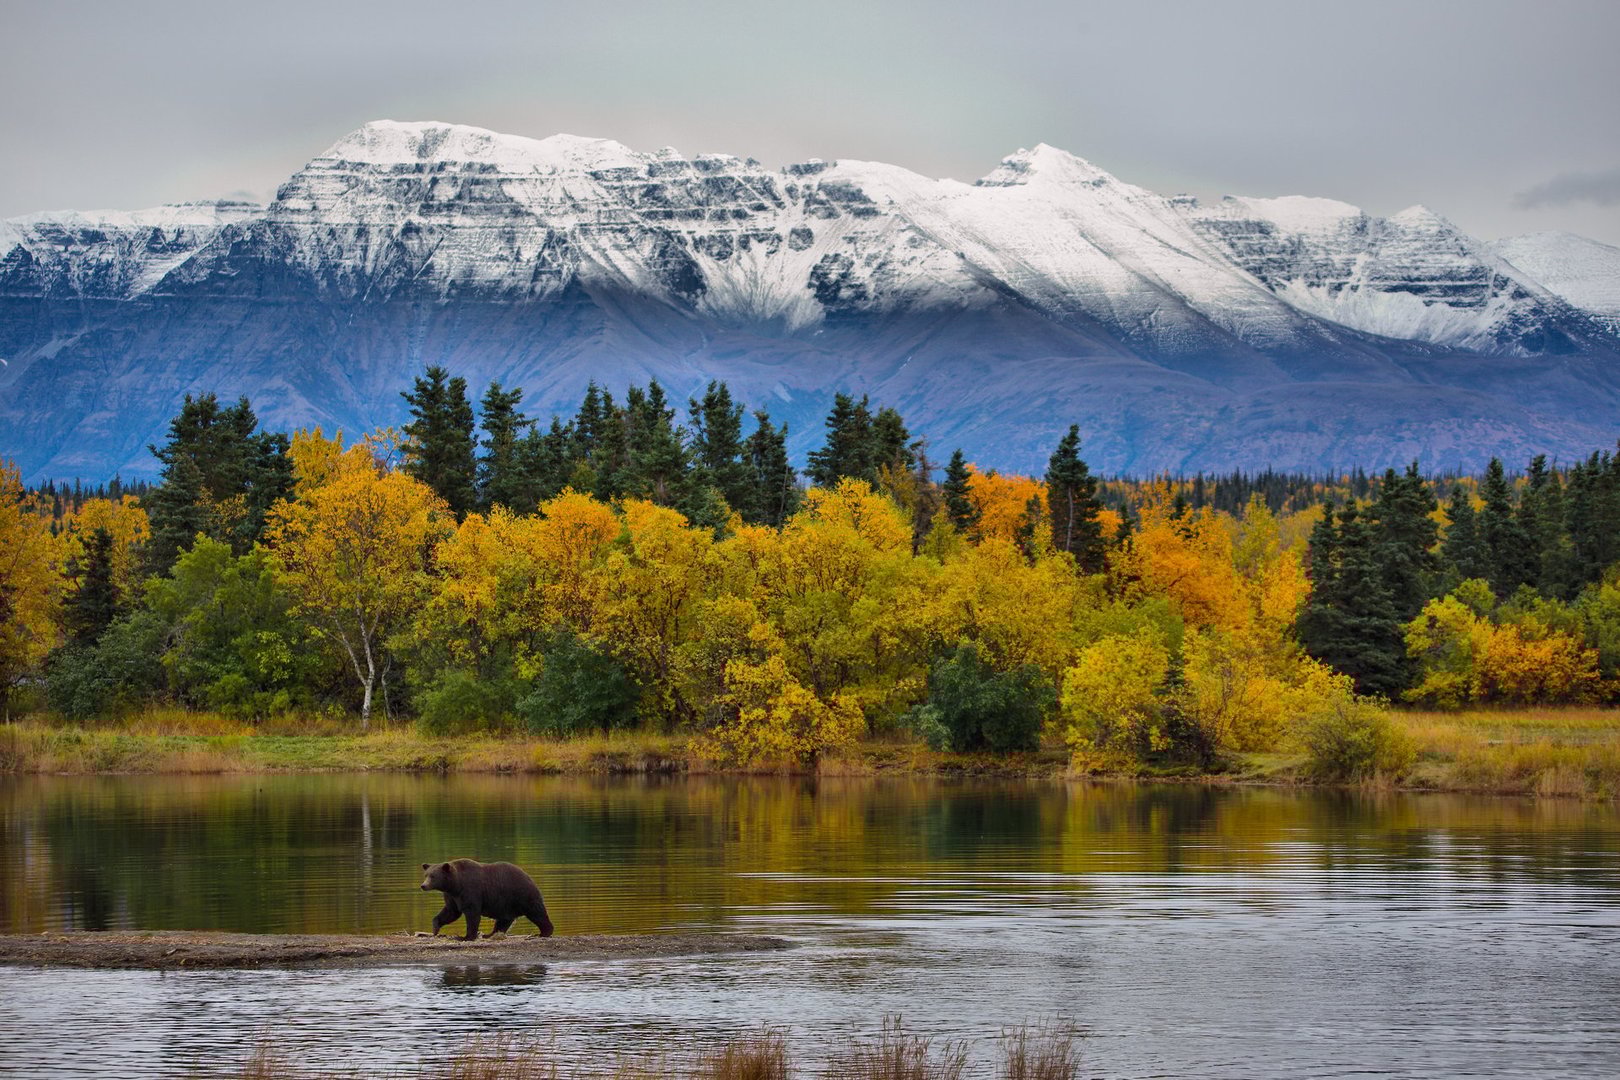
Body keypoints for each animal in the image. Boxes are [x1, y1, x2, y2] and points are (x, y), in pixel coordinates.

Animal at [419, 859, 555, 941]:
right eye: (426, 875)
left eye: (433, 876)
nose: (423, 885)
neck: (456, 884)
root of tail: (529, 877)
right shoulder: (452, 896)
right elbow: (451, 912)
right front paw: (435, 928)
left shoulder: (470, 891)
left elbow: (472, 914)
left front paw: (465, 937)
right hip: (505, 903)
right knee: (504, 919)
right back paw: (489, 934)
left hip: (522, 894)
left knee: (536, 913)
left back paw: (544, 932)